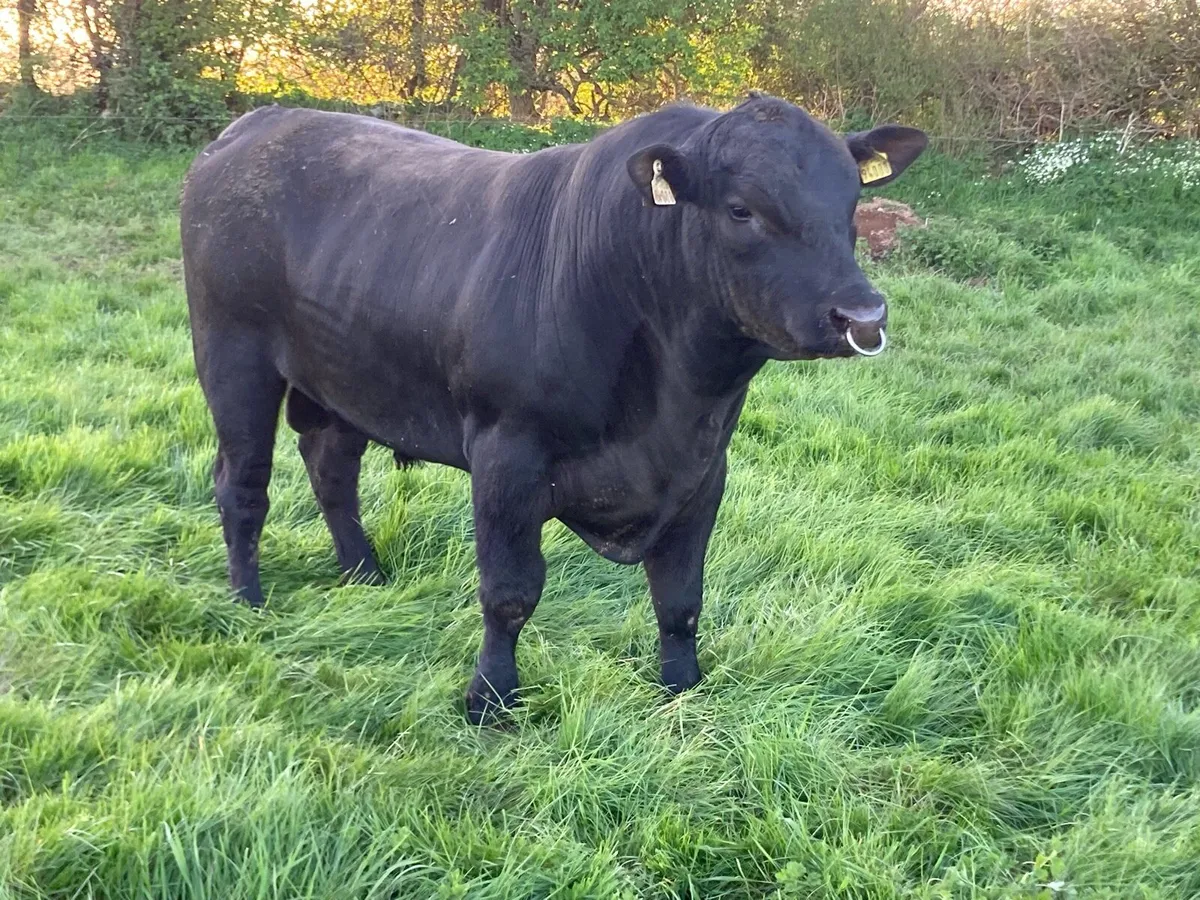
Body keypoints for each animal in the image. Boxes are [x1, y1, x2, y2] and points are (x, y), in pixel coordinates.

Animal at [180, 93, 927, 724]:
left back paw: (363, 572)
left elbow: (681, 596)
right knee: (242, 484)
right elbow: (509, 592)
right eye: (742, 208)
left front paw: (682, 690)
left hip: (341, 378)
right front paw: (489, 699)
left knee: (331, 466)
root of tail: (258, 123)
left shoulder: (704, 469)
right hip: (233, 357)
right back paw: (248, 599)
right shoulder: (506, 457)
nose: (862, 316)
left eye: (852, 203)